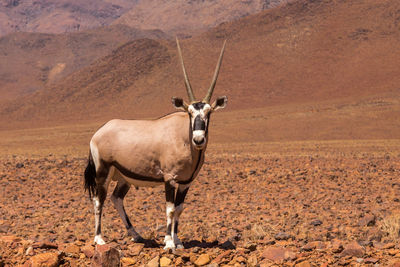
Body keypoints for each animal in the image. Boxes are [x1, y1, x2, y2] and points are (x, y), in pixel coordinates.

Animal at [83, 38, 228, 251]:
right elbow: (169, 209)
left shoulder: (186, 182)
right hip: (103, 172)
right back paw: (99, 238)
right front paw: (168, 243)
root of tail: (99, 132)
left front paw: (178, 240)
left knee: (116, 198)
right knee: (98, 200)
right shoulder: (170, 178)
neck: (184, 140)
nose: (199, 139)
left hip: (124, 177)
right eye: (190, 113)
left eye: (209, 112)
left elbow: (179, 209)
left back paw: (136, 235)